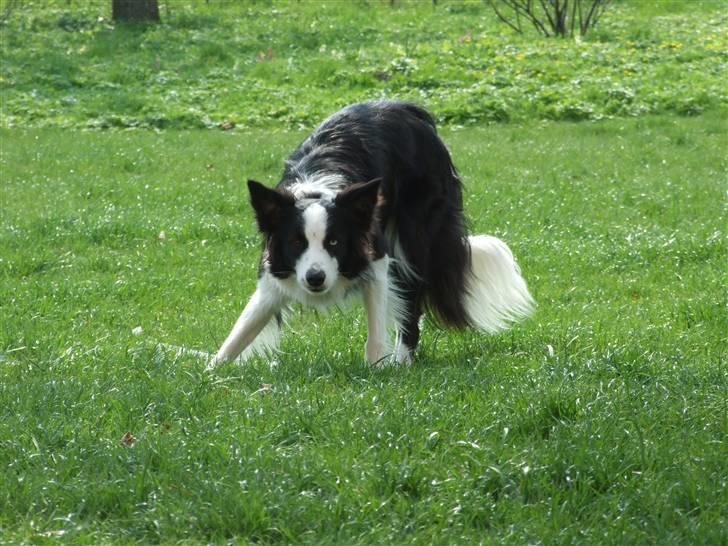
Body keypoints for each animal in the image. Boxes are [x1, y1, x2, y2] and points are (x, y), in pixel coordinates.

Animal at [213, 102, 532, 366]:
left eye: (334, 242)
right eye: (296, 242)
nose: (315, 278)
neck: (315, 191)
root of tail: (411, 109)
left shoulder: (375, 257)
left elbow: (377, 331)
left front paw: (377, 370)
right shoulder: (274, 274)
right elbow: (242, 329)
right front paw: (213, 372)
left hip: (415, 237)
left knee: (412, 302)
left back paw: (403, 360)